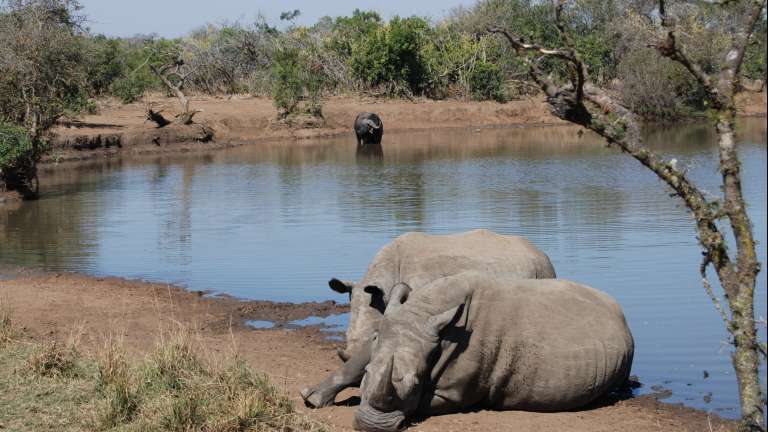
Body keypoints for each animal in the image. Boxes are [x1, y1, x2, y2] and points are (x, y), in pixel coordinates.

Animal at [354, 273, 635, 431]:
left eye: (414, 384)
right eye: (366, 372)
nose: (371, 426)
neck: (422, 313)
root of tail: (619, 311)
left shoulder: (453, 393)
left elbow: (423, 403)